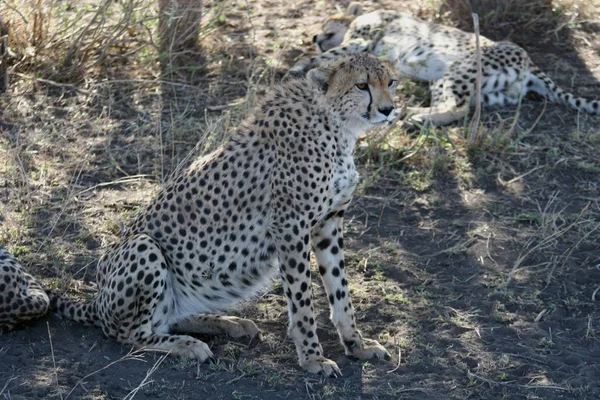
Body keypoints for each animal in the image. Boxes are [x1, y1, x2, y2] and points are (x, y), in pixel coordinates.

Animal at [52, 54, 398, 376]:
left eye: (390, 82)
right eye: (362, 85)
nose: (388, 110)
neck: (337, 126)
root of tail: (96, 301)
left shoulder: (328, 223)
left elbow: (341, 290)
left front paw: (356, 344)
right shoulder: (290, 226)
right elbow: (302, 301)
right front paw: (313, 358)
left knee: (168, 317)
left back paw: (228, 323)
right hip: (142, 246)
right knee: (131, 333)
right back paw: (188, 345)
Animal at [288, 1, 596, 125]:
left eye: (326, 23)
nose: (314, 36)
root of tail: (528, 59)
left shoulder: (360, 42)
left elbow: (323, 57)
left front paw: (298, 67)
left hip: (459, 70)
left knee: (455, 107)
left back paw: (413, 116)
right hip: (493, 92)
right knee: (466, 108)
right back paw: (410, 113)